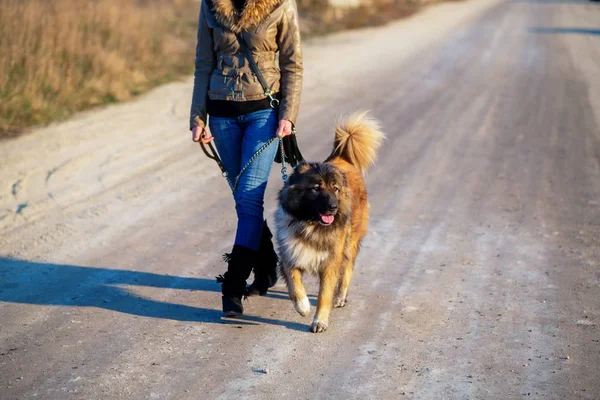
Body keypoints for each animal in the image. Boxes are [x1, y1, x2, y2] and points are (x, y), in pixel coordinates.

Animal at [274, 111, 382, 332]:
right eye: (316, 188)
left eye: (335, 189)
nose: (333, 207)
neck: (311, 224)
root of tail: (341, 157)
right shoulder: (291, 255)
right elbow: (295, 285)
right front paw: (303, 307)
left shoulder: (331, 262)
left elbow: (325, 295)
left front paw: (320, 321)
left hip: (349, 243)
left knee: (348, 269)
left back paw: (340, 297)